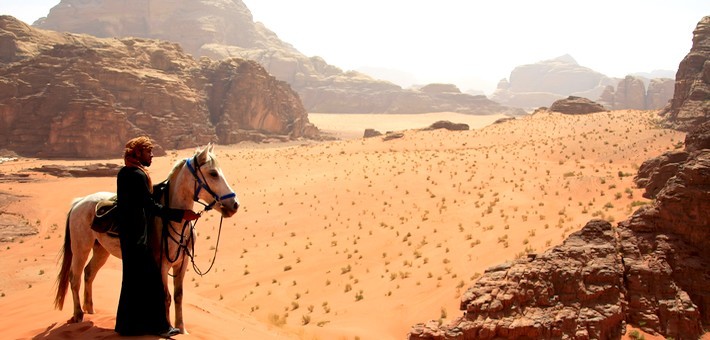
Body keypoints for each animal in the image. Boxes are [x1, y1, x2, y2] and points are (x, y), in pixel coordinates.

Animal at [53, 145, 242, 334]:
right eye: (213, 173)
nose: (234, 204)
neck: (172, 218)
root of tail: (79, 202)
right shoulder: (161, 265)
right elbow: (165, 296)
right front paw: (167, 328)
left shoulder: (182, 263)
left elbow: (178, 295)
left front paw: (182, 329)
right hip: (81, 249)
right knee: (74, 278)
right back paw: (78, 314)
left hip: (101, 250)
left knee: (89, 273)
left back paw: (90, 309)